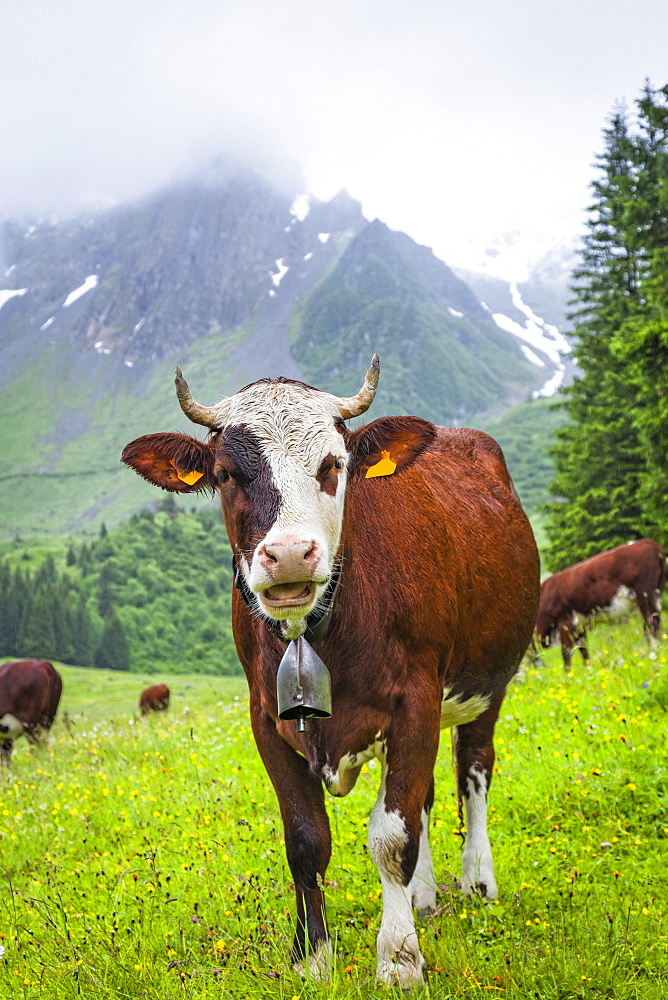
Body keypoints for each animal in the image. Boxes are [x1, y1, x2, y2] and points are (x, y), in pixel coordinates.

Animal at [121, 358, 544, 984]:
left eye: (333, 465)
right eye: (226, 474)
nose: (291, 555)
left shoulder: (416, 700)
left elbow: (391, 836)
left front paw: (399, 957)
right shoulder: (267, 721)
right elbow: (307, 841)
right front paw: (312, 957)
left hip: (487, 684)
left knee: (473, 771)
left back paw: (477, 880)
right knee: (423, 796)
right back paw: (421, 896)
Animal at [536, 536, 664, 668]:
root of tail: (649, 542)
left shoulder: (565, 622)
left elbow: (567, 653)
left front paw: (570, 673)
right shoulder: (579, 625)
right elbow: (583, 649)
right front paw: (588, 669)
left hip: (646, 596)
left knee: (652, 625)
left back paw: (655, 653)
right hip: (655, 594)